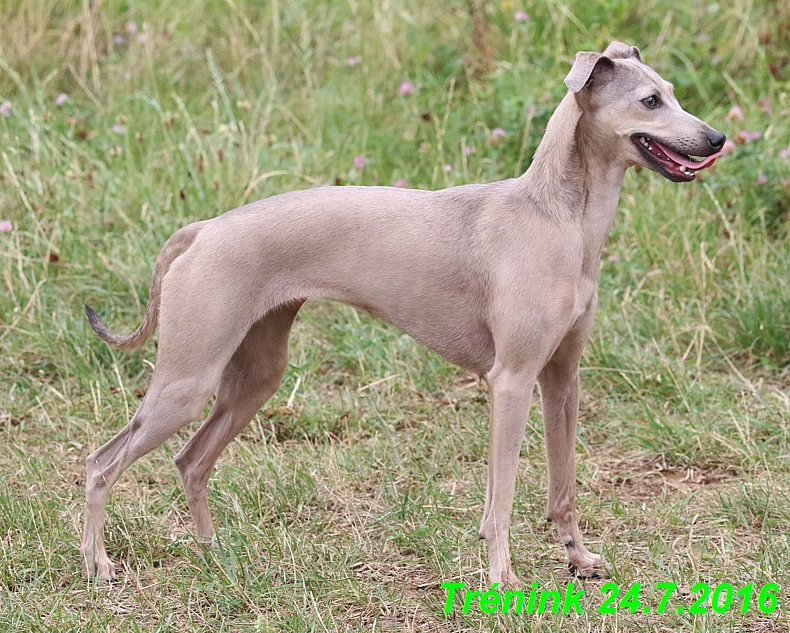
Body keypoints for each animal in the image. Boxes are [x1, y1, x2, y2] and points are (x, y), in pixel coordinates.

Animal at [83, 43, 728, 584]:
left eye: (673, 91)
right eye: (650, 101)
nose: (718, 137)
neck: (555, 216)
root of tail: (203, 230)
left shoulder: (562, 379)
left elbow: (562, 488)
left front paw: (579, 557)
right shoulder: (512, 382)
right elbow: (500, 499)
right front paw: (502, 578)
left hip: (254, 378)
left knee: (191, 461)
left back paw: (213, 553)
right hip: (187, 381)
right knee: (100, 463)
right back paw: (99, 565)